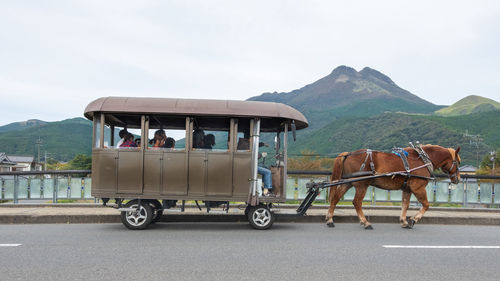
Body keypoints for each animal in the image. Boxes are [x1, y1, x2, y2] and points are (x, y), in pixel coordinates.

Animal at [324, 144, 460, 228]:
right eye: (458, 162)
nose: (458, 178)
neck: (423, 160)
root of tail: (348, 154)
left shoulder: (407, 189)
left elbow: (405, 205)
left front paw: (404, 221)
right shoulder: (418, 188)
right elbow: (426, 205)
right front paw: (413, 220)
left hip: (348, 183)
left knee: (335, 199)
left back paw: (330, 219)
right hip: (362, 184)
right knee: (356, 202)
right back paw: (365, 222)